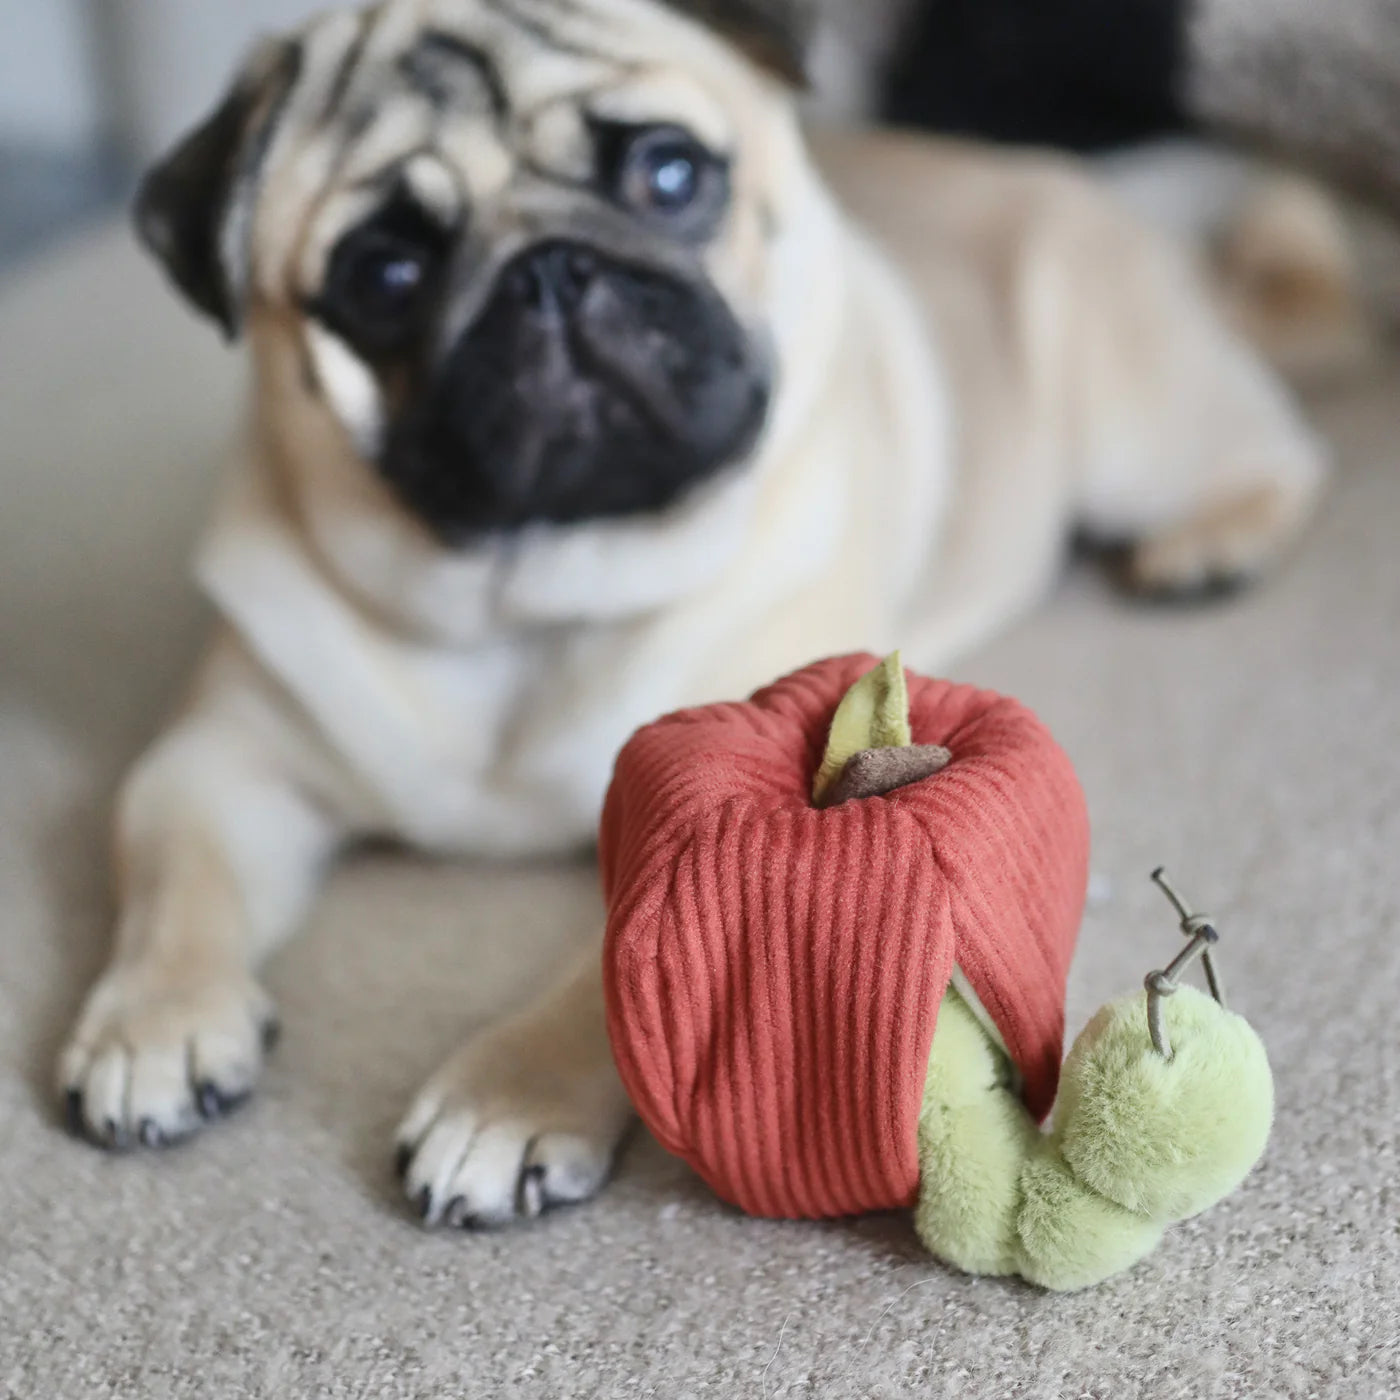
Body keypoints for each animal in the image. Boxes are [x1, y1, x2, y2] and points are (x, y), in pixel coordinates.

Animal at [60, 0, 1327, 1226]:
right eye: (383, 275)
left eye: (669, 176)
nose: (545, 272)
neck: (526, 594)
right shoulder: (217, 761)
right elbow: (174, 881)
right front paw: (152, 1023)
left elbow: (608, 977)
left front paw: (504, 1095)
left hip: (1132, 423)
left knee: (1273, 451)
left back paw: (1209, 545)